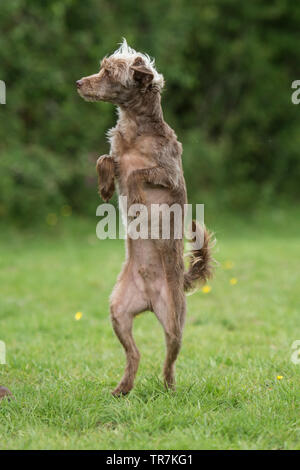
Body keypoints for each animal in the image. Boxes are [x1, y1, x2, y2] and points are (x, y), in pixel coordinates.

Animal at [77, 39, 213, 396]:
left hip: (175, 321)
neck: (135, 131)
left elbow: (139, 173)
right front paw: (105, 188)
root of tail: (150, 300)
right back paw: (122, 388)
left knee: (170, 360)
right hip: (118, 311)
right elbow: (104, 159)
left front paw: (136, 198)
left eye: (109, 73)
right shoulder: (116, 157)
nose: (79, 83)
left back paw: (168, 388)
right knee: (134, 354)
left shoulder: (168, 174)